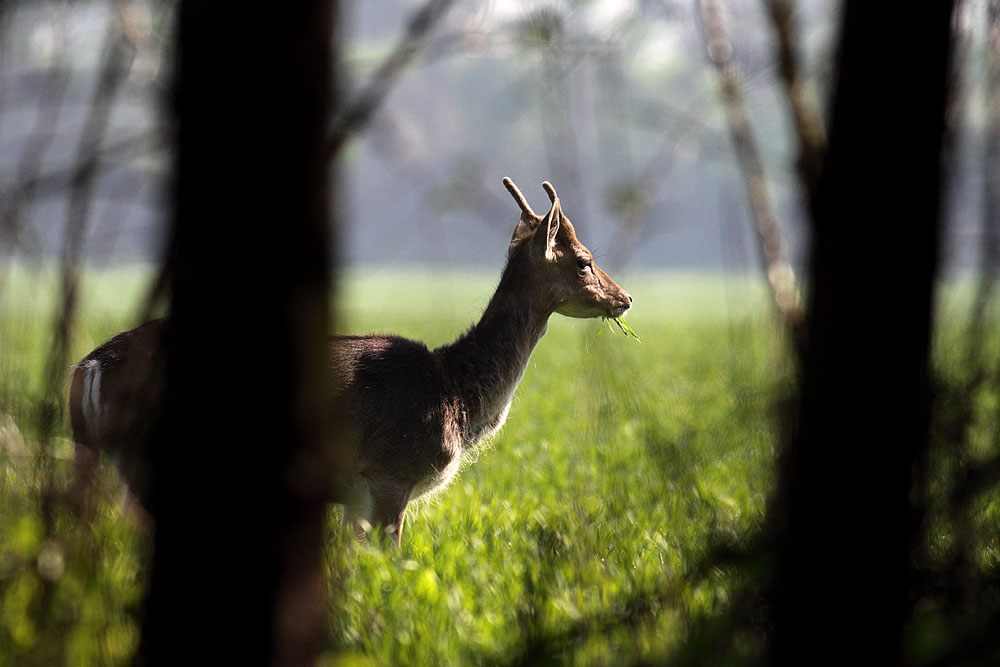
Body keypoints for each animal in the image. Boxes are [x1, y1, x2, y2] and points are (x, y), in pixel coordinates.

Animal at [68, 180, 632, 544]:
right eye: (584, 261)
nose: (623, 298)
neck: (456, 396)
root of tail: (88, 368)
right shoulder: (390, 472)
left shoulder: (353, 496)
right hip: (149, 455)